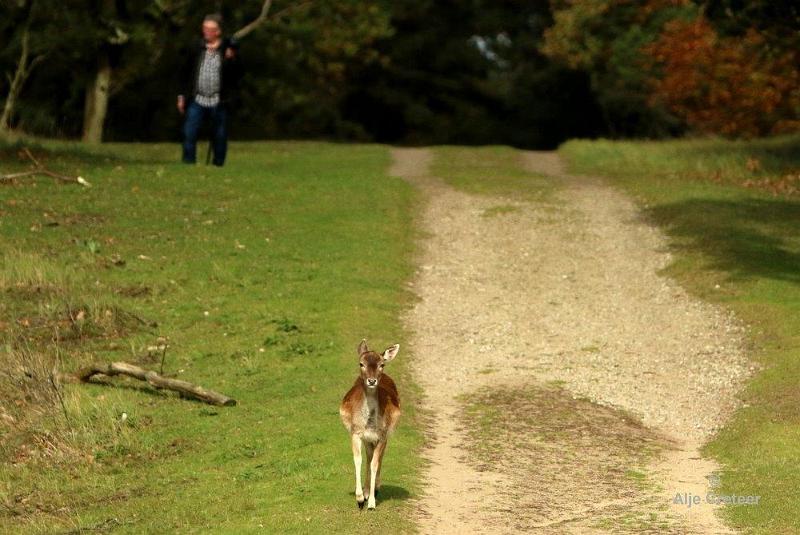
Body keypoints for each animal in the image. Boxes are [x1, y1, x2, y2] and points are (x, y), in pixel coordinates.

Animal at [338, 340, 400, 510]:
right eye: (361, 363)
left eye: (381, 364)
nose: (371, 381)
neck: (369, 423)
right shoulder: (356, 433)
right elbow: (358, 460)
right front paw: (360, 498)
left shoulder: (382, 435)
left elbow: (374, 464)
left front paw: (371, 502)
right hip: (367, 439)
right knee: (368, 456)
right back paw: (366, 492)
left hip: (386, 435)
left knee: (377, 458)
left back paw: (375, 489)